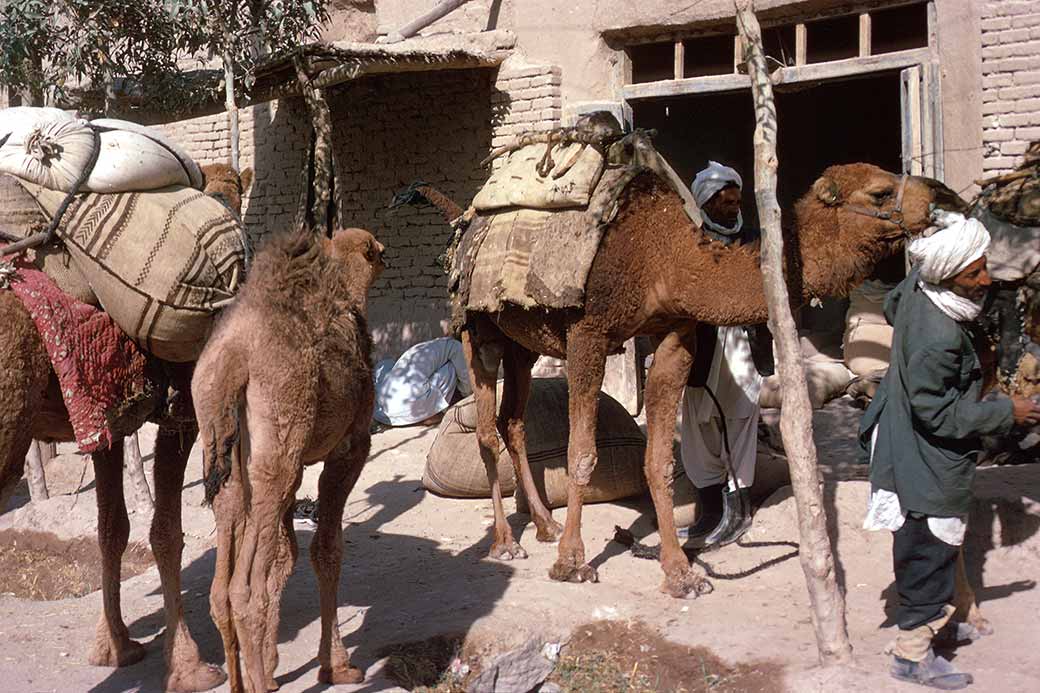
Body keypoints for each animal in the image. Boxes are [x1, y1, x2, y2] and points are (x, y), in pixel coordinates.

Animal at [0, 164, 250, 692]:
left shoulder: (103, 412)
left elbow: (112, 527)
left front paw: (114, 646)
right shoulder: (183, 414)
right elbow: (167, 531)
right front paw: (190, 666)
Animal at [192, 227, 385, 693]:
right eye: (377, 251)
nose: (386, 254)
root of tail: (234, 357)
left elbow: (286, 556)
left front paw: (275, 661)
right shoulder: (351, 446)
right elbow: (326, 550)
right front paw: (337, 666)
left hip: (223, 448)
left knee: (220, 587)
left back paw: (242, 679)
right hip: (281, 429)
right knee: (246, 591)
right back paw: (260, 683)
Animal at [398, 162, 965, 600]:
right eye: (880, 192)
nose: (945, 195)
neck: (665, 258)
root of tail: (464, 218)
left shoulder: (675, 335)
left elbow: (660, 461)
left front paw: (680, 574)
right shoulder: (588, 333)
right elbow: (581, 453)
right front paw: (573, 562)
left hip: (522, 340)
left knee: (513, 422)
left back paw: (543, 524)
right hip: (477, 330)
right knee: (487, 429)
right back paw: (506, 542)